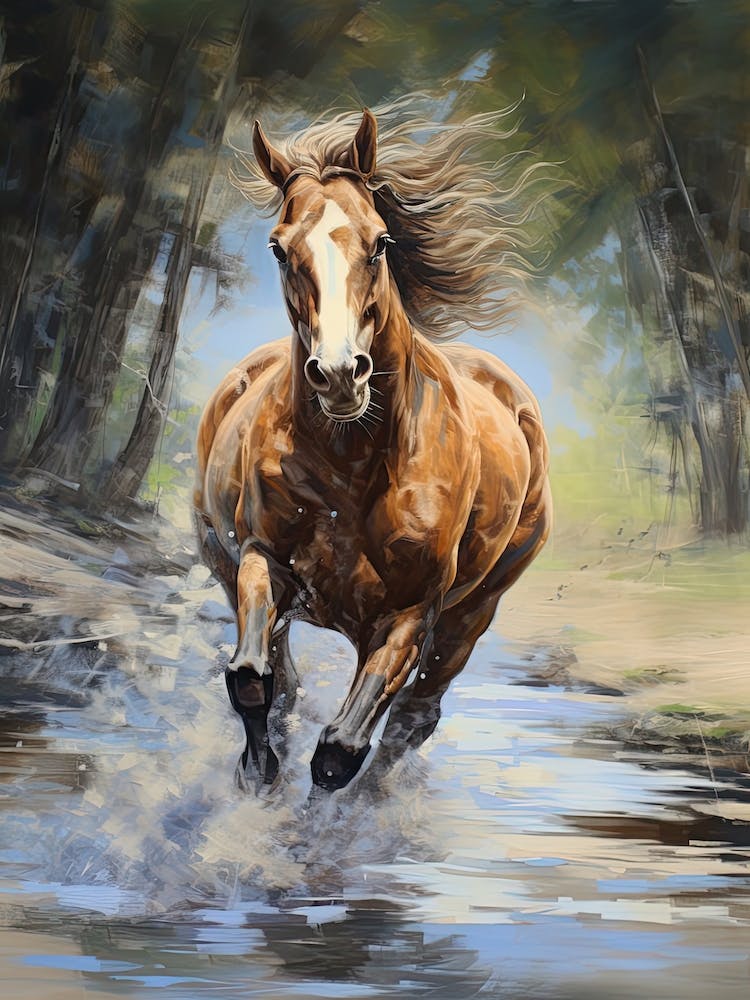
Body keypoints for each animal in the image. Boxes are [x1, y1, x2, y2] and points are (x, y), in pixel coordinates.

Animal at [194, 103, 551, 792]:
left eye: (380, 240)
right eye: (279, 248)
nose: (339, 376)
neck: (351, 469)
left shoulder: (412, 613)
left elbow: (340, 751)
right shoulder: (261, 559)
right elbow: (252, 681)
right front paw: (259, 774)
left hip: (472, 615)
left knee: (414, 717)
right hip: (223, 563)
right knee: (284, 675)